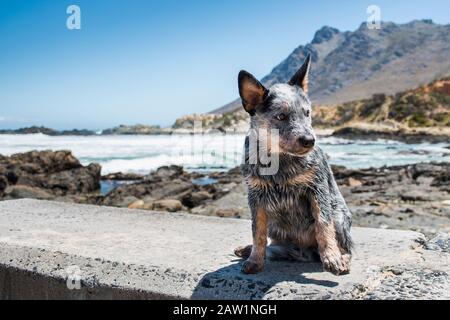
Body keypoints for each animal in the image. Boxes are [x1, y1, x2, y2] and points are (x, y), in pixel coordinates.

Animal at [234, 54, 354, 276]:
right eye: (281, 116)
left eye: (307, 113)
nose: (309, 140)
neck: (280, 161)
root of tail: (304, 253)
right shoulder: (256, 196)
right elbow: (258, 232)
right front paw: (255, 259)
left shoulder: (317, 189)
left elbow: (324, 225)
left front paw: (332, 257)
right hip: (276, 227)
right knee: (275, 246)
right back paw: (249, 250)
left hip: (340, 215)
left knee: (347, 246)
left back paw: (342, 258)